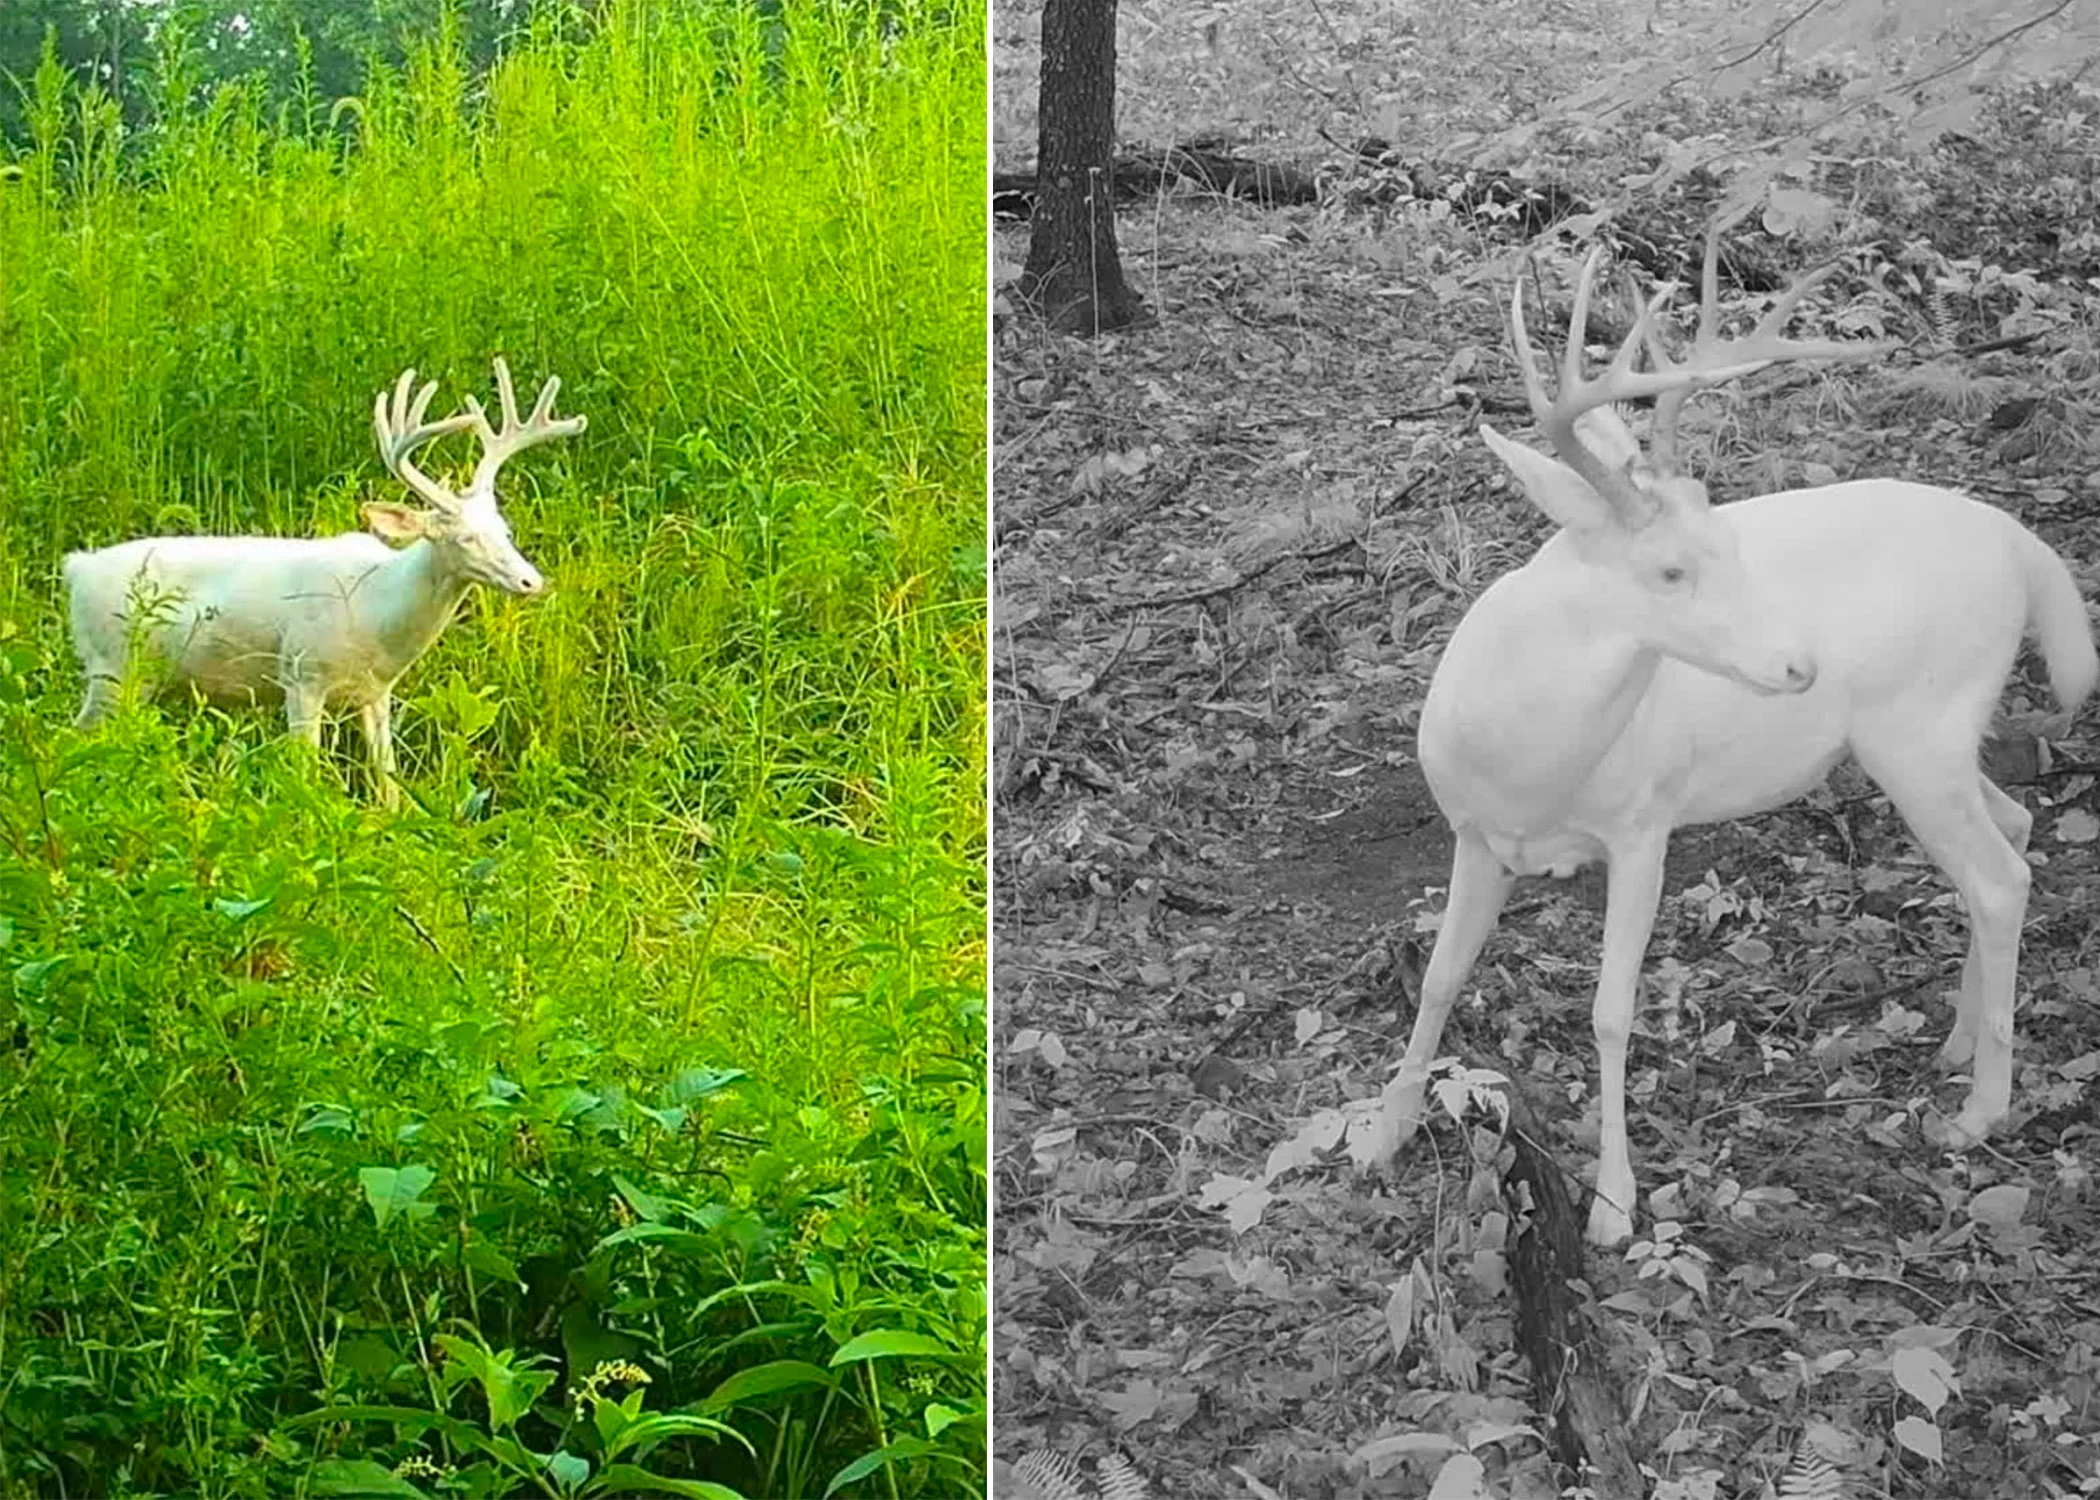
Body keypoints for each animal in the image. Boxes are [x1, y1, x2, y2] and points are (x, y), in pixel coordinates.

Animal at [63, 359, 583, 806]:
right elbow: (305, 775)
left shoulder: (377, 691)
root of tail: (75, 569)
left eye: (504, 530)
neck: (377, 609)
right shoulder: (301, 674)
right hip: (114, 667)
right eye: (465, 538)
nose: (531, 581)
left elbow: (388, 782)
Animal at [1352, 227, 2091, 1243]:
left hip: (1920, 728)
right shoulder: (1472, 831)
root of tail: (2025, 545)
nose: (1800, 665)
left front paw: (1615, 1205)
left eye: (1733, 546)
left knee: (2000, 874)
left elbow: (1611, 1011)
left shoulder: (1644, 825)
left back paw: (1979, 1111)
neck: (1530, 767)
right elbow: (1438, 977)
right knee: (2013, 832)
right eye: (1671, 569)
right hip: (1927, 737)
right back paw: (1953, 1044)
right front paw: (1382, 1133)